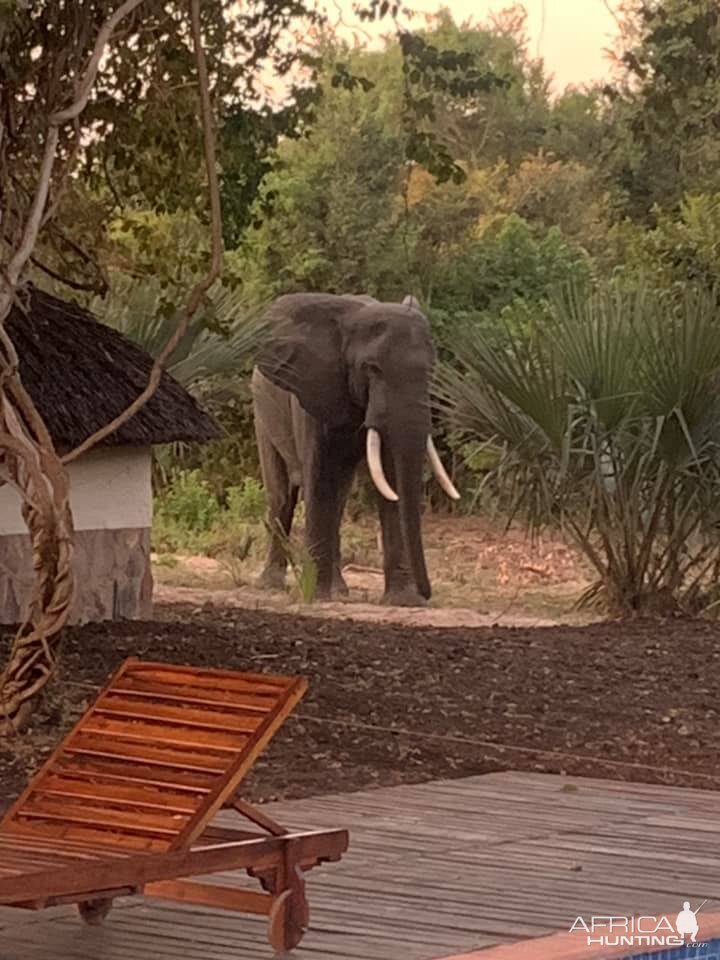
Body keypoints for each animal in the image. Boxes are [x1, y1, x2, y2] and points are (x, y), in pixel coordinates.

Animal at [250, 292, 458, 608]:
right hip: (262, 409)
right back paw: (270, 585)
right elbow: (319, 480)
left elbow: (391, 480)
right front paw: (315, 596)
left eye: (431, 370)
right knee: (281, 494)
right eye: (372, 368)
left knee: (339, 500)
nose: (427, 594)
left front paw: (404, 601)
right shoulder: (312, 391)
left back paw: (340, 591)